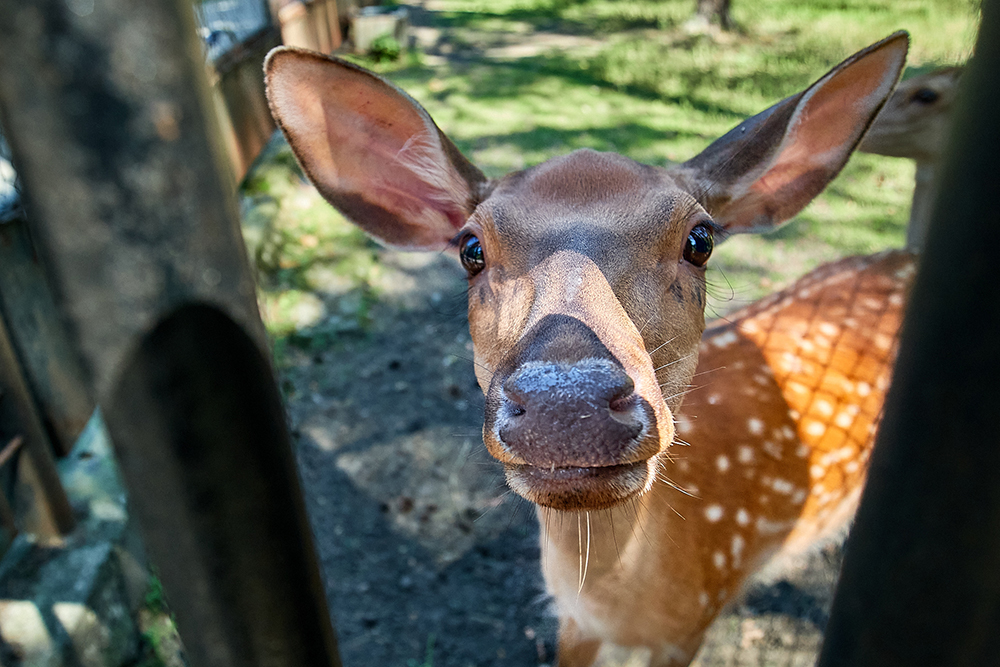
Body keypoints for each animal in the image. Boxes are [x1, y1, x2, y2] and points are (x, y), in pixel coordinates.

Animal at [266, 32, 916, 667]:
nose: (567, 405)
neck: (623, 605)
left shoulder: (693, 623)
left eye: (700, 240)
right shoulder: (571, 620)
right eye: (471, 248)